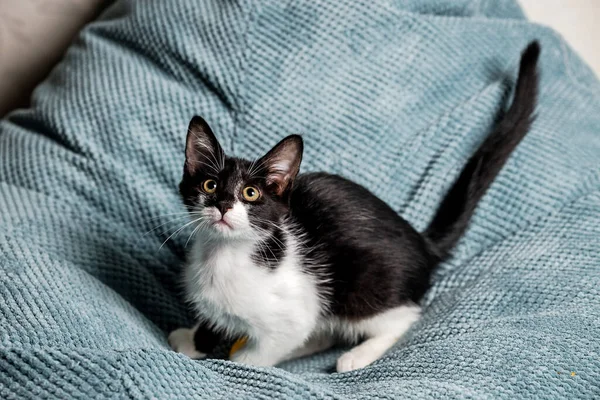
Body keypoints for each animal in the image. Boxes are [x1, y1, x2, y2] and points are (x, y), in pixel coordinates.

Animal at [168, 41, 540, 372]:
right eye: (210, 185)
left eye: (250, 193)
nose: (223, 206)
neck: (224, 257)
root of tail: (422, 241)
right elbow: (213, 322)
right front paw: (193, 339)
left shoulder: (294, 312)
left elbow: (262, 352)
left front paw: (238, 363)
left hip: (363, 289)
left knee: (403, 318)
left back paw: (356, 356)